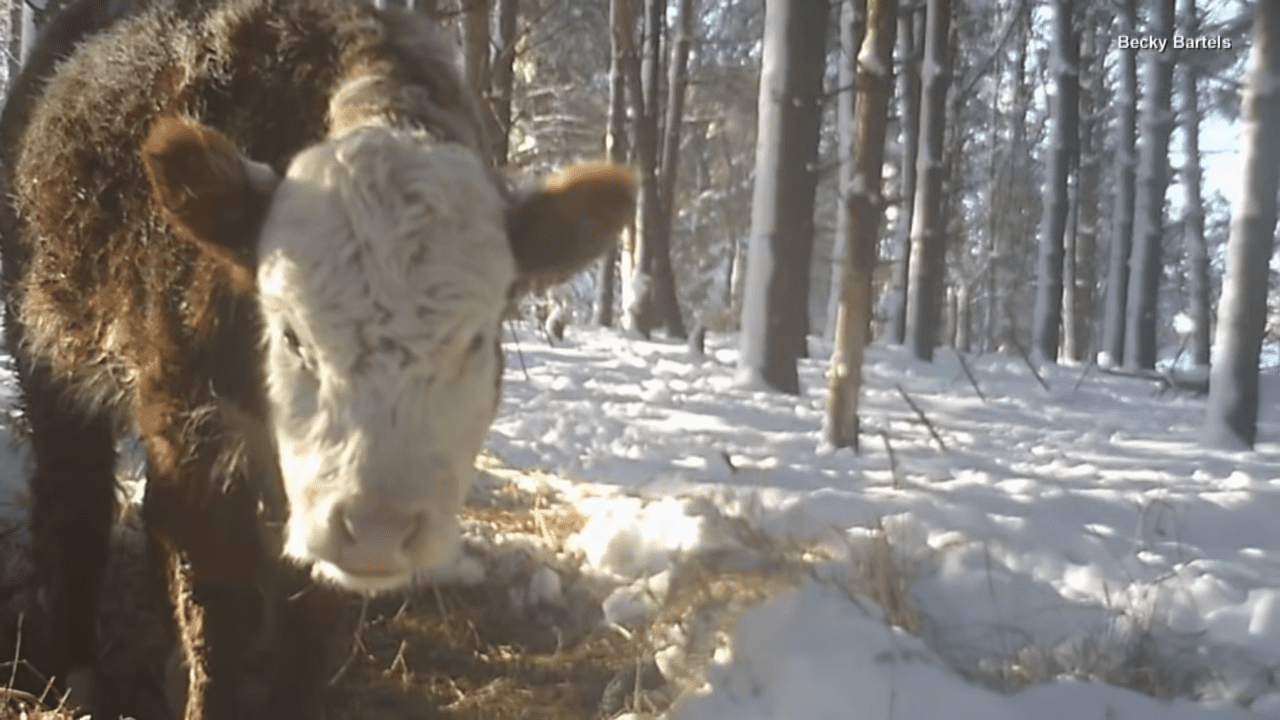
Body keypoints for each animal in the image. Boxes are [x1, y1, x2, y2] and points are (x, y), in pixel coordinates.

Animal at [0, 0, 635, 717]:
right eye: (290, 334)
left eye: (476, 337)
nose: (381, 528)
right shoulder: (187, 412)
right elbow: (220, 600)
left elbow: (311, 613)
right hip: (47, 344)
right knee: (76, 502)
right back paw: (72, 671)